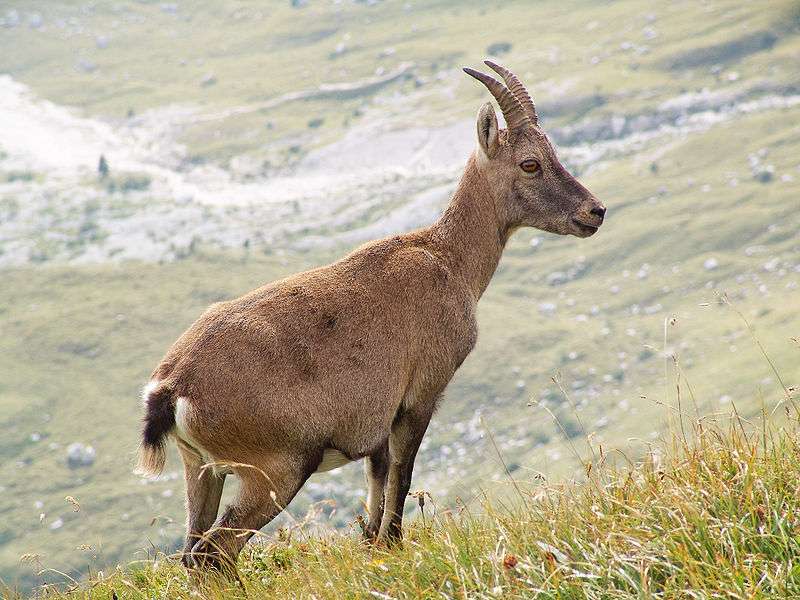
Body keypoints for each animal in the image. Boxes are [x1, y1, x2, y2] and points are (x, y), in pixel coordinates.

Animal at [135, 61, 606, 573]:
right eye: (530, 163)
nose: (595, 211)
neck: (448, 260)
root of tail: (172, 386)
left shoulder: (376, 423)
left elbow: (376, 486)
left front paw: (375, 546)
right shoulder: (420, 395)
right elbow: (402, 475)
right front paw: (396, 545)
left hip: (201, 469)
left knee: (192, 552)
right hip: (276, 469)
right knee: (214, 553)